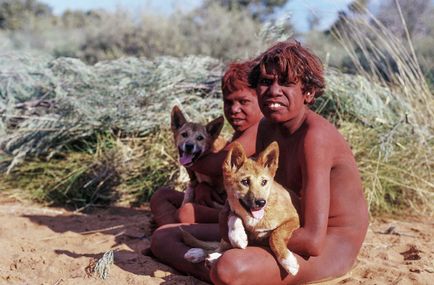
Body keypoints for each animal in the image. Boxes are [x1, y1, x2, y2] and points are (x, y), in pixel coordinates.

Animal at [181, 141, 300, 274]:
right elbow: (233, 216)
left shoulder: (293, 218)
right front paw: (237, 235)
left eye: (264, 182)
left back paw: (210, 257)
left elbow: (276, 235)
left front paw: (287, 261)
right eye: (245, 182)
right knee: (219, 247)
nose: (261, 202)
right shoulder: (230, 208)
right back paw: (201, 254)